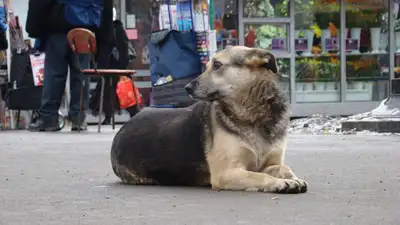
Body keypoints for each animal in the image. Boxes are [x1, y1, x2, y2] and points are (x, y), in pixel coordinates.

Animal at [111, 45, 308, 193]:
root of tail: (122, 129)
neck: (252, 115)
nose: (187, 87)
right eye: (207, 66)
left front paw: (293, 178)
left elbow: (283, 168)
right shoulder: (226, 173)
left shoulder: (271, 163)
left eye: (217, 65)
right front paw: (278, 182)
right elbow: (259, 175)